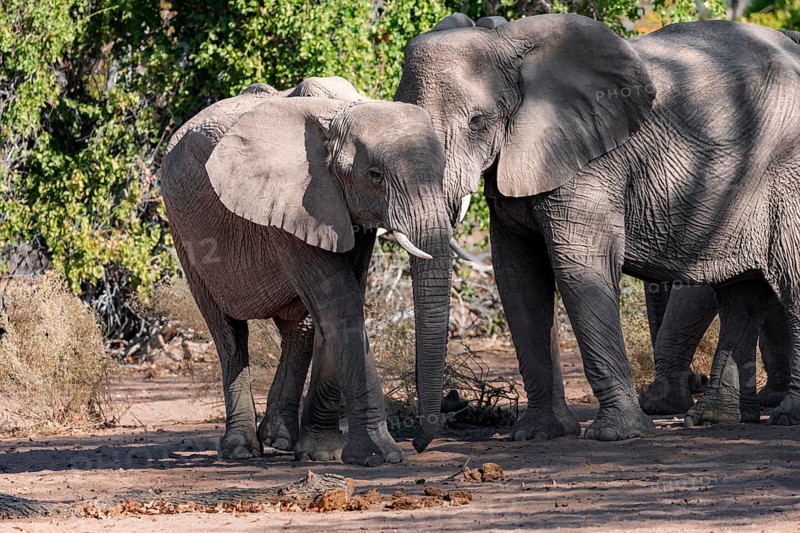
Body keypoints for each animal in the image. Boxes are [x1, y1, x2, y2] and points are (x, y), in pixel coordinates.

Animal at [160, 83, 453, 464]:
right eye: (374, 175)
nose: (418, 443)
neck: (340, 111)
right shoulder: (293, 203)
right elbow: (339, 300)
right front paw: (379, 456)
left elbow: (345, 298)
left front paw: (322, 453)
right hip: (183, 230)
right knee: (228, 334)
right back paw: (241, 449)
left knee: (299, 328)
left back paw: (280, 439)